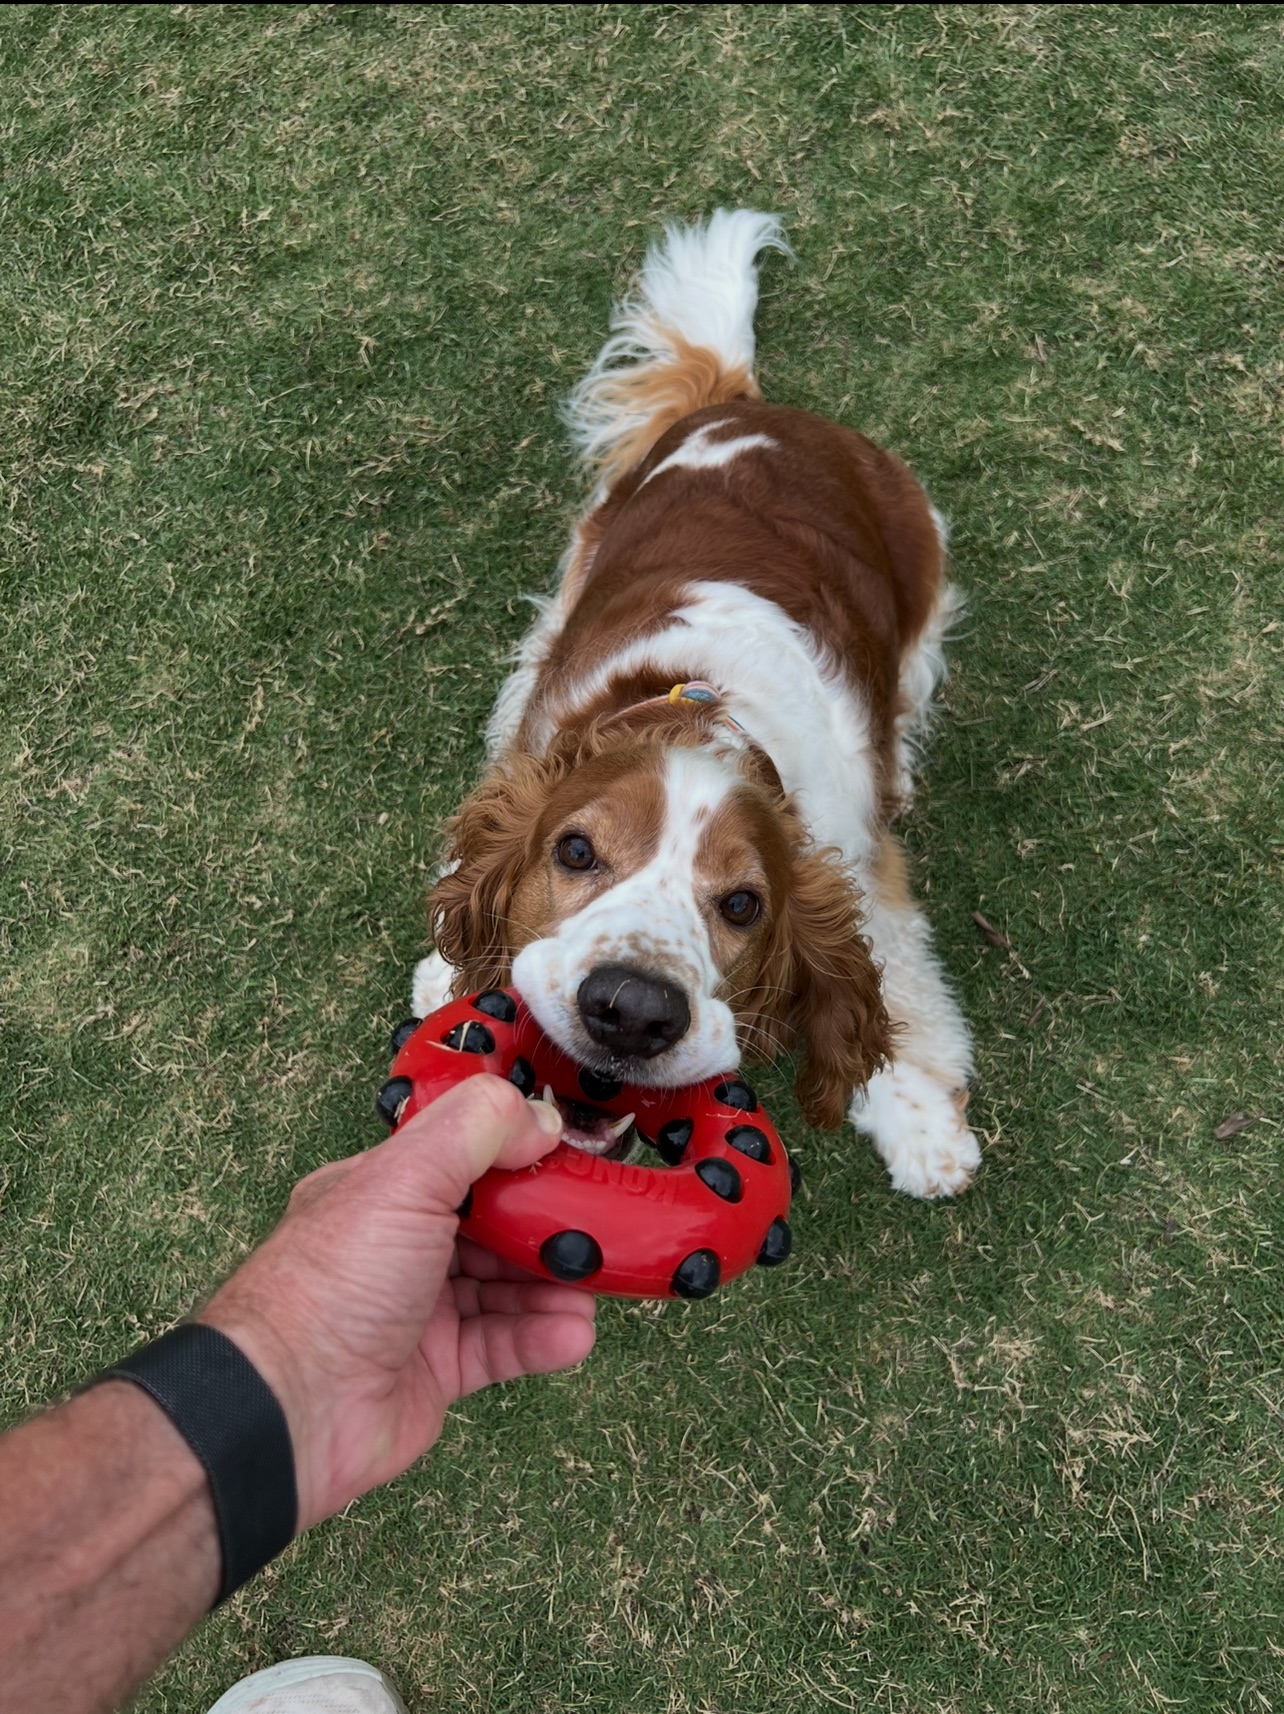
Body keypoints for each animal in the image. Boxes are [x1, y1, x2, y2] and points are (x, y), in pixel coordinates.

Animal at [411, 210, 980, 1198]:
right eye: (575, 852)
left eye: (744, 904)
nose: (631, 1009)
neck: (702, 715)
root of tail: (751, 408)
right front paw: (445, 979)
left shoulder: (859, 864)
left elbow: (900, 989)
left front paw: (921, 1130)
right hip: (583, 556)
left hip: (923, 554)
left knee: (909, 685)